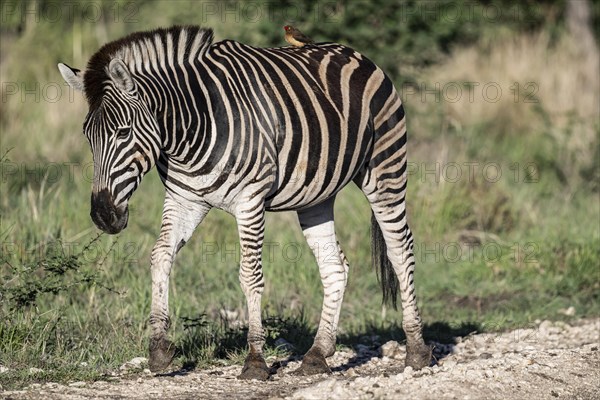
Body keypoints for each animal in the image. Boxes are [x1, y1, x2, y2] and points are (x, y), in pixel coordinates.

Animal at [58, 25, 432, 378]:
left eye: (123, 133)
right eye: (88, 136)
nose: (103, 216)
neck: (189, 130)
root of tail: (354, 53)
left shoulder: (250, 200)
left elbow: (250, 275)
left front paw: (254, 360)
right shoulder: (184, 199)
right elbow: (160, 256)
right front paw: (160, 349)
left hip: (384, 169)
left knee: (400, 250)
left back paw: (416, 351)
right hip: (316, 195)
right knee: (334, 266)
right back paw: (317, 354)